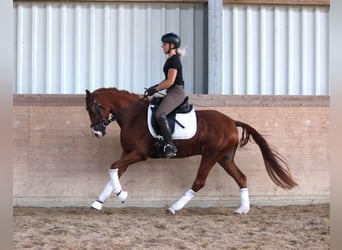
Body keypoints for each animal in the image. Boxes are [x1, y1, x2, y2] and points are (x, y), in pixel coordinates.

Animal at [85, 87, 296, 214]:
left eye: (92, 109)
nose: (97, 132)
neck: (133, 115)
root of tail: (231, 121)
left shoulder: (138, 154)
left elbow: (112, 168)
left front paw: (122, 195)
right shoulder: (127, 153)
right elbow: (114, 173)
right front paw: (98, 202)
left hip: (211, 155)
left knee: (199, 182)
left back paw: (174, 207)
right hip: (225, 158)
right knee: (241, 178)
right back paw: (242, 210)